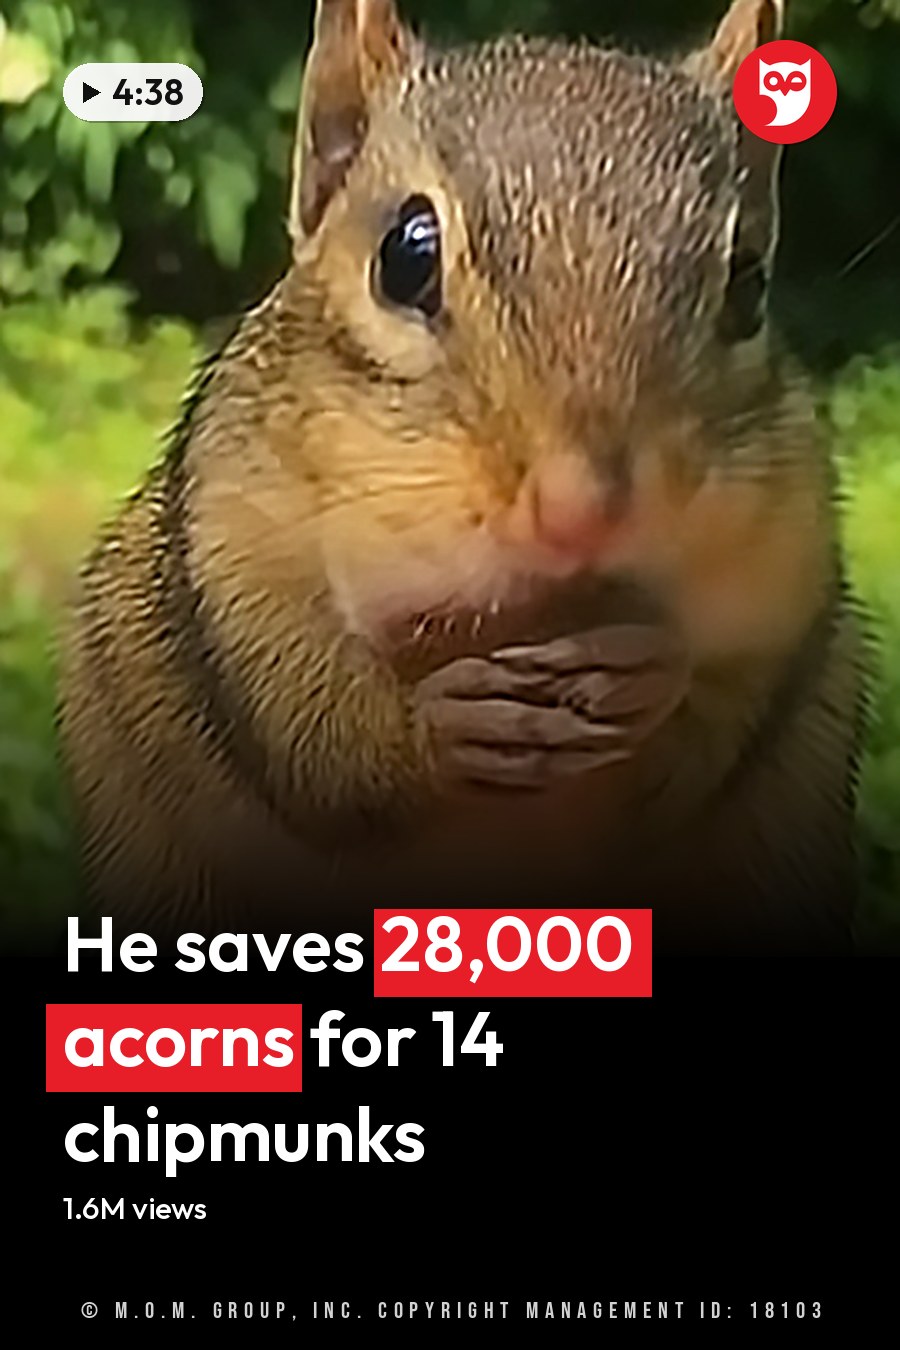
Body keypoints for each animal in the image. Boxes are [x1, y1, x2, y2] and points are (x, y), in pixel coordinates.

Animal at [59, 0, 865, 953]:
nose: (580, 514)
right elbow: (301, 718)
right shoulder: (231, 549)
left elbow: (735, 700)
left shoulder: (788, 563)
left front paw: (650, 674)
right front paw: (439, 724)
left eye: (748, 283)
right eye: (404, 257)